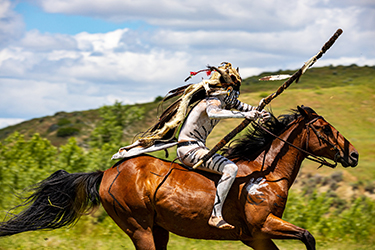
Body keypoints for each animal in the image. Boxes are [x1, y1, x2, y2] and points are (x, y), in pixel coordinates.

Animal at [0, 106, 358, 250]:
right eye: (324, 129)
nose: (353, 154)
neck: (264, 176)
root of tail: (106, 173)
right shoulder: (262, 227)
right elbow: (308, 236)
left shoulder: (256, 237)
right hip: (139, 227)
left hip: (158, 229)